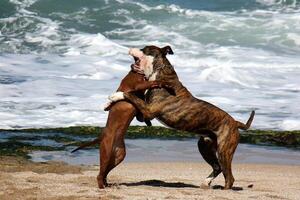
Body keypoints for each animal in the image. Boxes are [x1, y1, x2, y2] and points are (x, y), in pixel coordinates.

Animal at [109, 45, 254, 189]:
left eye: (144, 49)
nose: (131, 48)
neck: (159, 72)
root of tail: (235, 122)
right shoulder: (146, 112)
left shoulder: (149, 110)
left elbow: (130, 94)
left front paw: (116, 95)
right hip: (204, 146)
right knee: (217, 167)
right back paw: (206, 182)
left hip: (224, 150)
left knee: (229, 177)